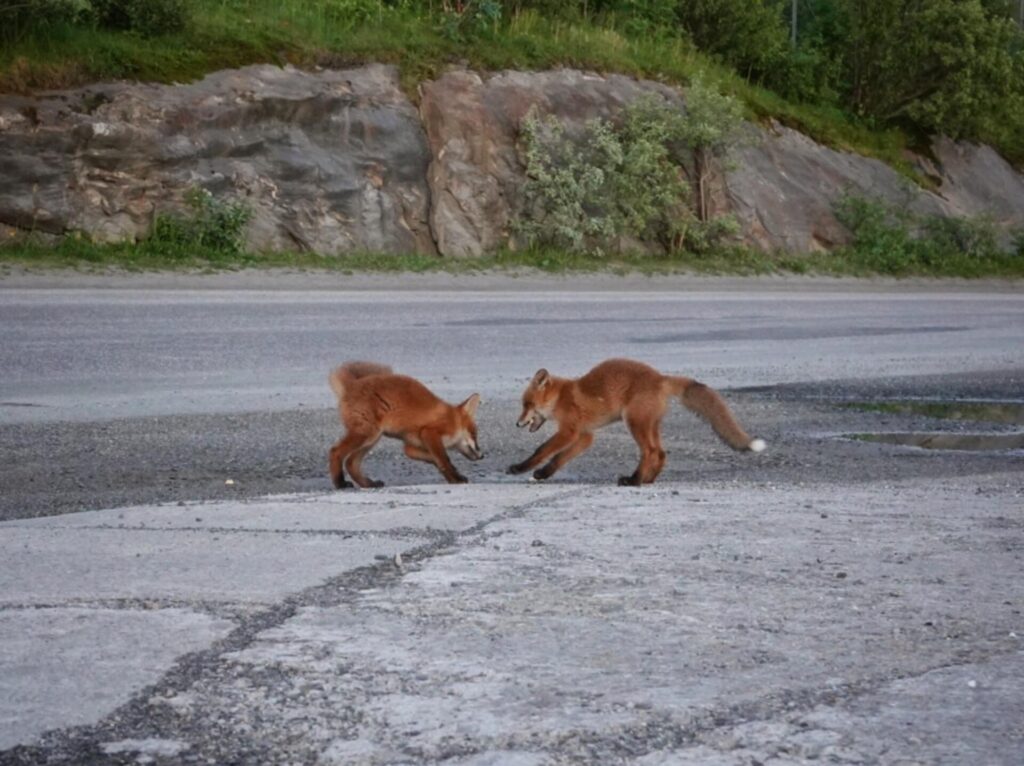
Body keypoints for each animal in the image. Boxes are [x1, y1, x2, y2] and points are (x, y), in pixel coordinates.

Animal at [328, 361, 483, 488]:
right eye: (474, 433)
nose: (482, 456)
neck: (453, 420)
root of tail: (352, 385)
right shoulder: (430, 432)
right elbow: (444, 459)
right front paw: (456, 478)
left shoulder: (411, 446)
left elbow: (435, 459)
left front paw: (453, 476)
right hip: (366, 434)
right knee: (335, 451)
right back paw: (340, 483)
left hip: (372, 438)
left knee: (351, 462)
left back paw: (368, 484)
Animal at [509, 358, 765, 486]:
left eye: (527, 404)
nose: (517, 424)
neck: (561, 397)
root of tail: (660, 378)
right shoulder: (585, 435)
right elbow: (560, 459)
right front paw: (543, 474)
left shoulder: (570, 431)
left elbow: (542, 450)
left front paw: (520, 468)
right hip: (649, 424)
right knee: (660, 453)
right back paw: (648, 479)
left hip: (634, 422)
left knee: (650, 452)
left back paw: (634, 480)